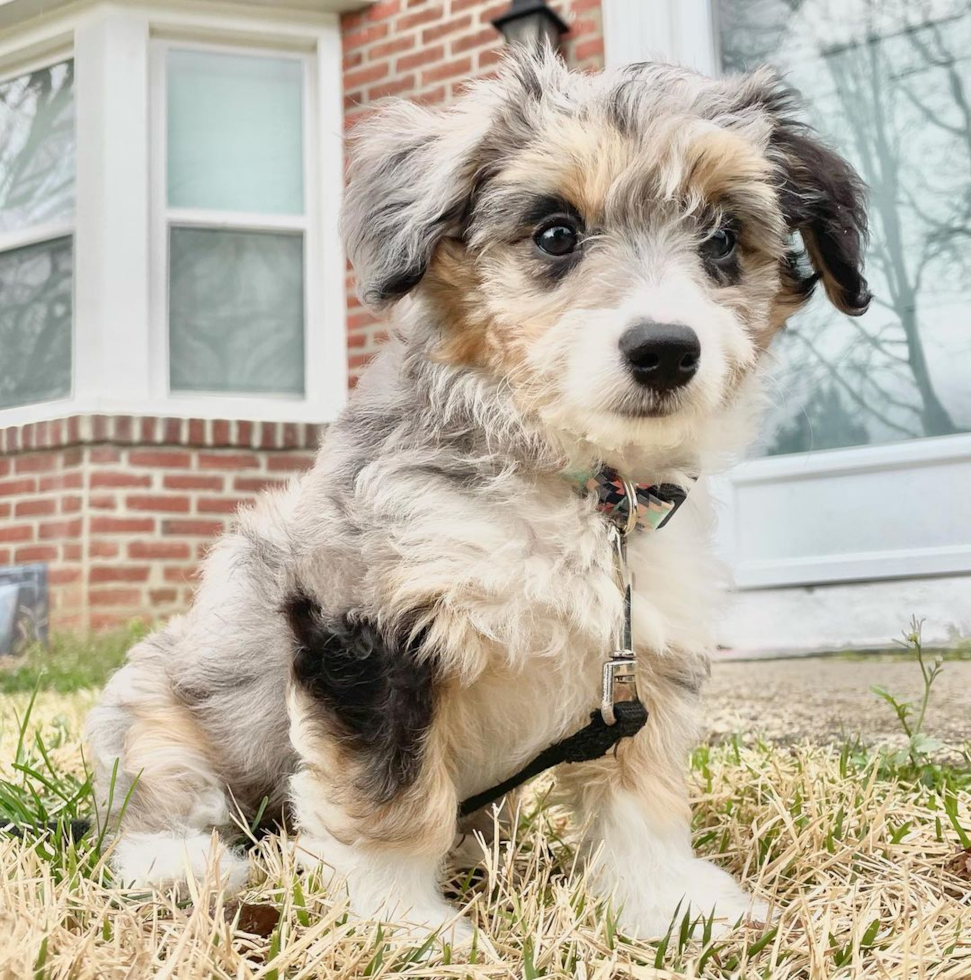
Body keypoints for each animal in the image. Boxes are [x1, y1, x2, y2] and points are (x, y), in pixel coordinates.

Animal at [85, 47, 872, 940]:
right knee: (159, 803)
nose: (665, 350)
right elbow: (389, 795)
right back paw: (185, 865)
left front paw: (668, 902)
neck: (577, 488)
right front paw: (396, 921)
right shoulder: (368, 638)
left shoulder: (640, 663)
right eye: (556, 233)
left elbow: (640, 796)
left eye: (721, 240)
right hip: (160, 721)